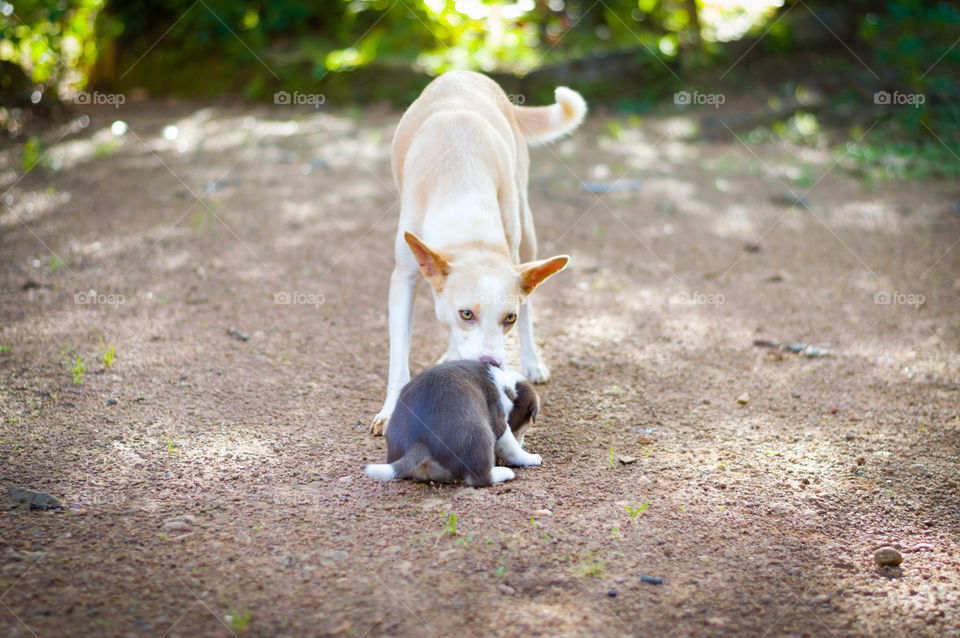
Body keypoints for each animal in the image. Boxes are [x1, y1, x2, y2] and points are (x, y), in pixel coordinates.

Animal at [364, 362, 540, 488]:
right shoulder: (499, 422)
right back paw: (503, 472)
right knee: (479, 478)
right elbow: (513, 448)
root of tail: (421, 441)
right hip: (481, 434)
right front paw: (532, 457)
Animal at [374, 72, 584, 438]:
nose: (490, 363)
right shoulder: (404, 278)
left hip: (526, 228)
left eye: (508, 318)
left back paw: (531, 361)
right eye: (467, 314)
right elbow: (399, 359)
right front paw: (390, 412)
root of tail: (466, 73)